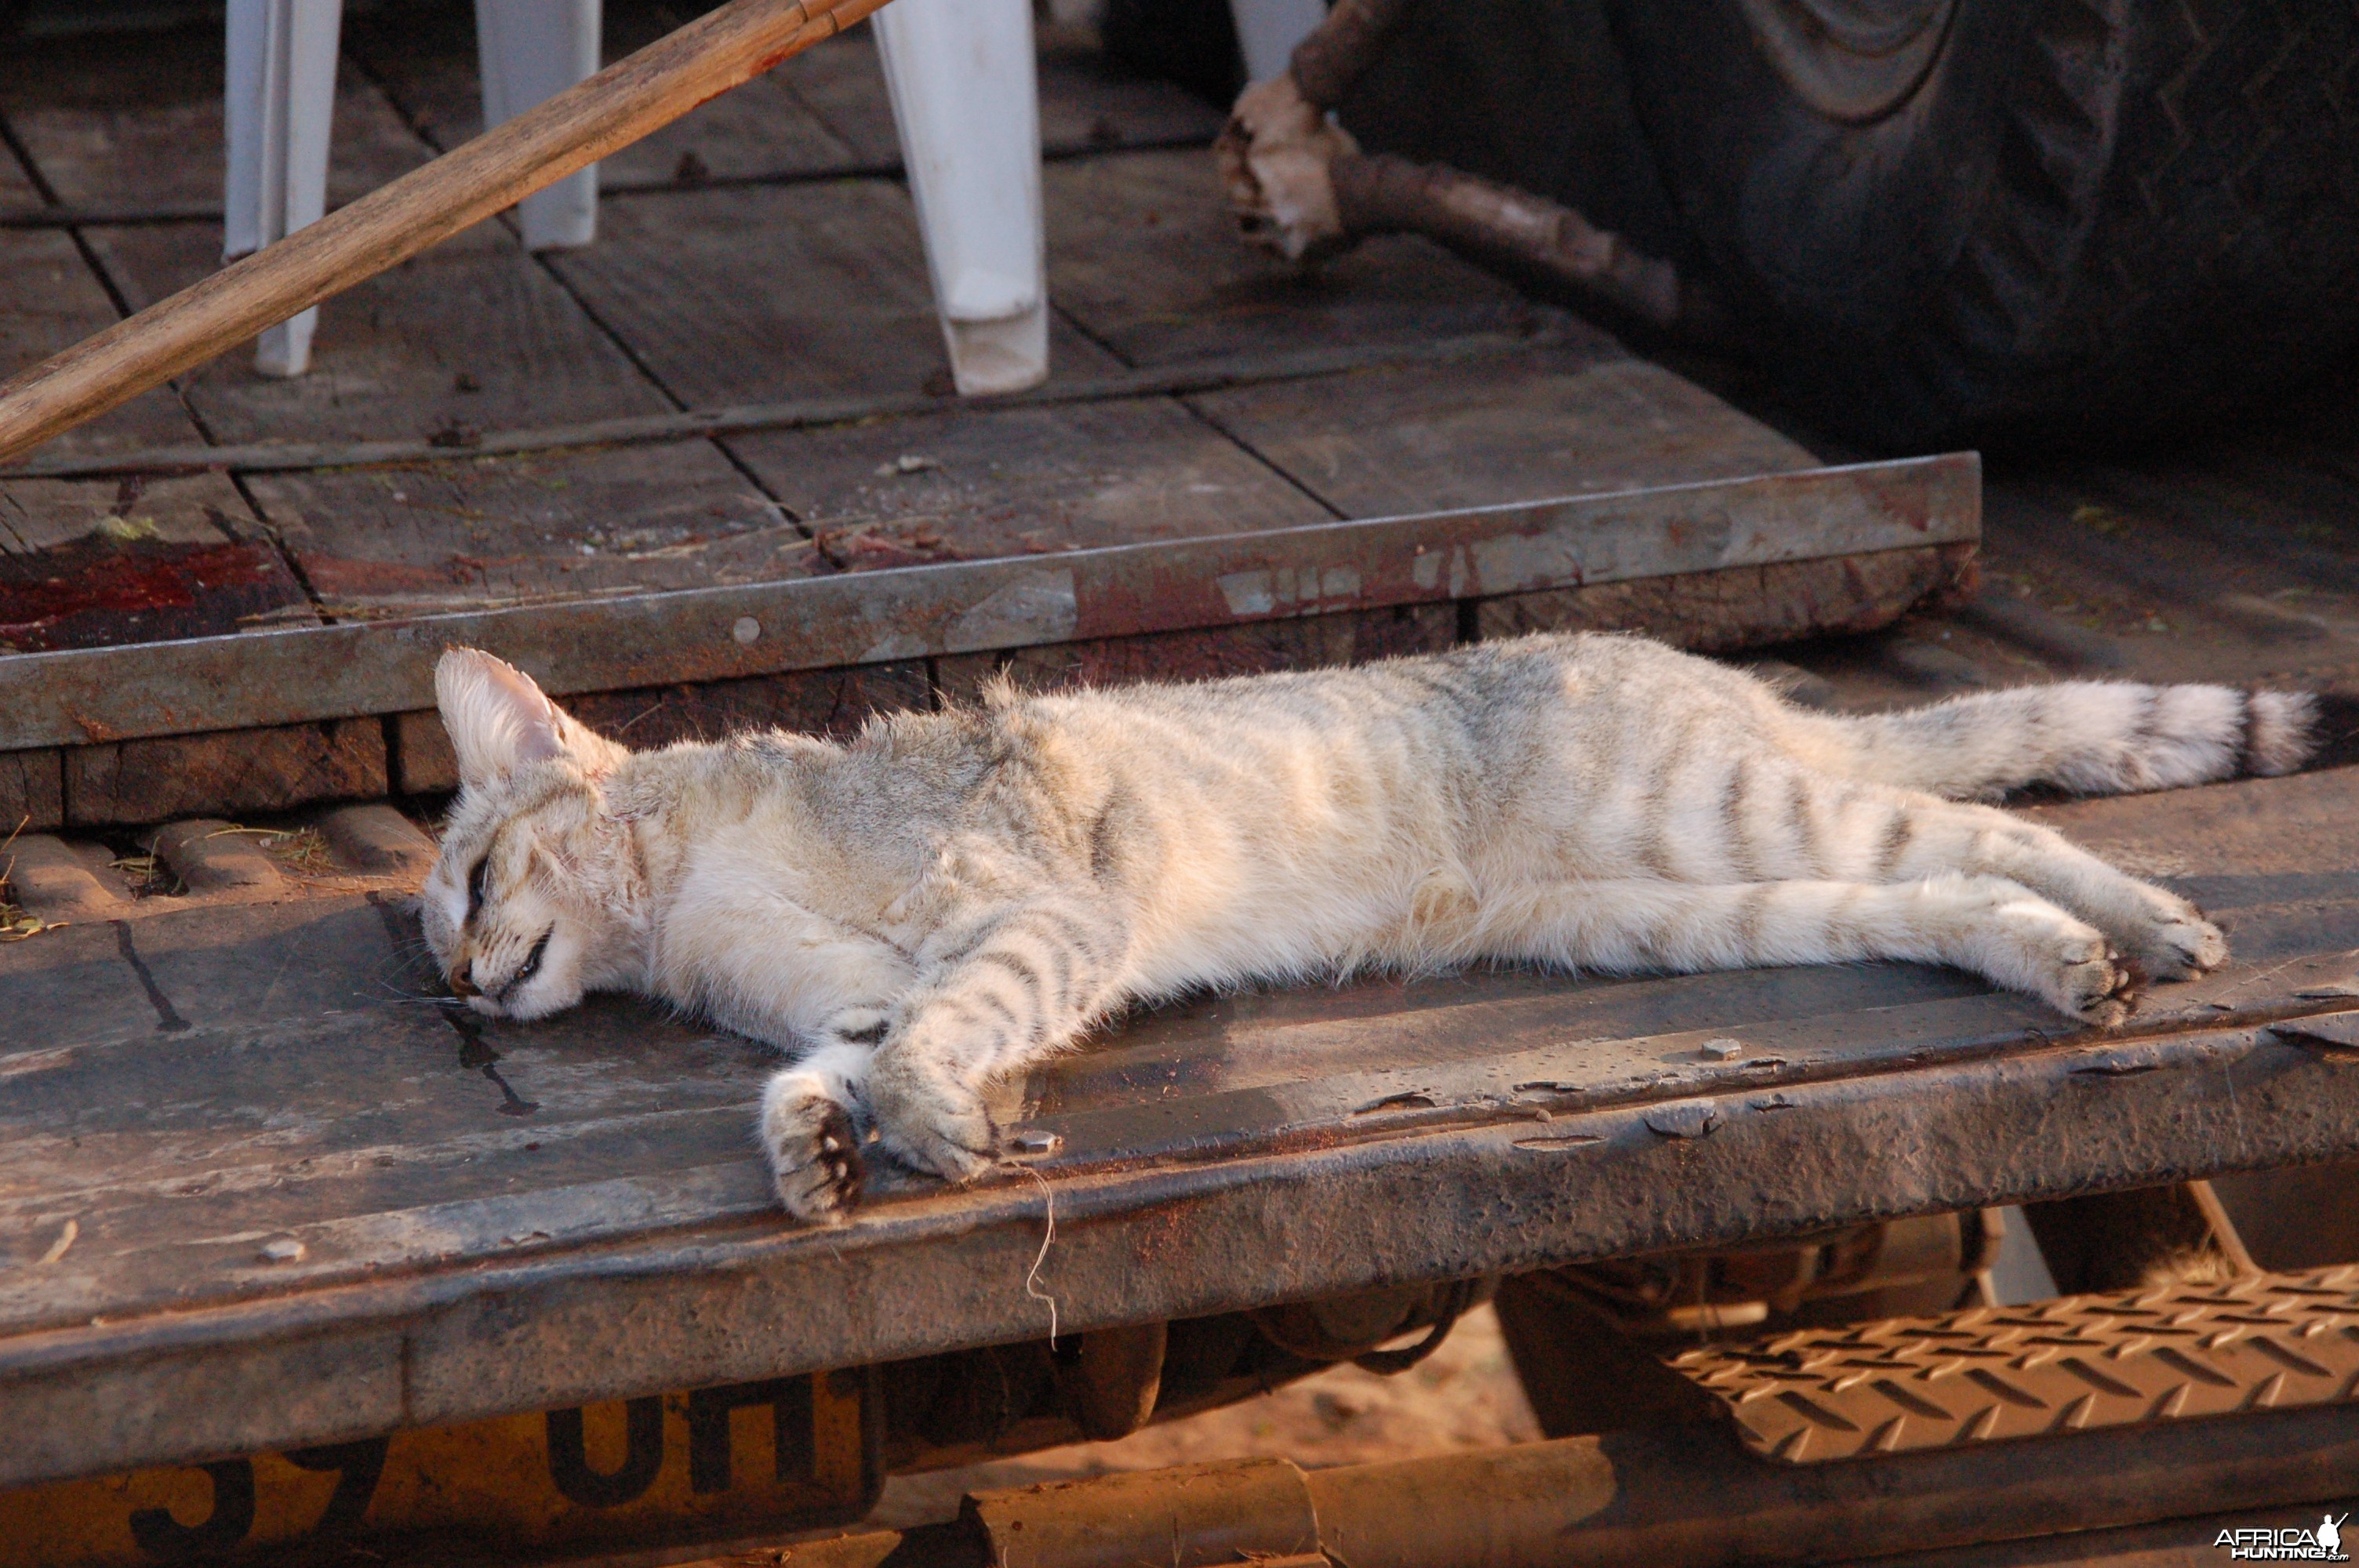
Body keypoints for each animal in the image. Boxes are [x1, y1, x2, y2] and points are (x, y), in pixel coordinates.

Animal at [415, 637, 2311, 1225]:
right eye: (437, 926)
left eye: (477, 882)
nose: (458, 984)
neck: (691, 910)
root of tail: (1720, 673)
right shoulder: (872, 987)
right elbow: (847, 1059)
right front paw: (816, 1144)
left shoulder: (1035, 913)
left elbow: (939, 1040)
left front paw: (928, 1120)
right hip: (1663, 914)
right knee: (1940, 891)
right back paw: (2060, 961)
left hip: (1723, 814)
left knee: (1992, 826)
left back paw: (2150, 920)